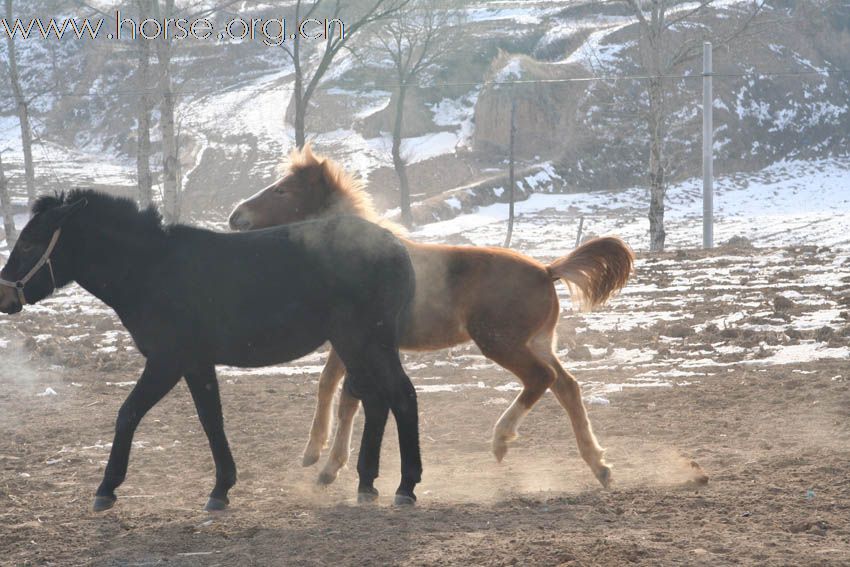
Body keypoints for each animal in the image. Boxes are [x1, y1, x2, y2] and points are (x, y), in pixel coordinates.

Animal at [0, 190, 422, 510]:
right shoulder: (196, 364)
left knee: (401, 396)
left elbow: (128, 413)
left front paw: (107, 488)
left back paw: (405, 486)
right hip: (354, 345)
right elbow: (211, 420)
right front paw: (221, 488)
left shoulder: (167, 362)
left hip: (369, 342)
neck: (151, 270)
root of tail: (398, 249)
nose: (4, 297)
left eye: (30, 243)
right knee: (376, 401)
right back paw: (366, 484)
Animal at [229, 146, 632, 488]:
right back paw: (600, 465)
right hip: (538, 342)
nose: (235, 217)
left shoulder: (360, 342)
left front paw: (327, 464)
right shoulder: (349, 343)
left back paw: (501, 440)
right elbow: (332, 389)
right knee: (567, 387)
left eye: (282, 190)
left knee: (541, 378)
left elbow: (345, 396)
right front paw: (317, 457)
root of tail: (548, 270)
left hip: (499, 342)